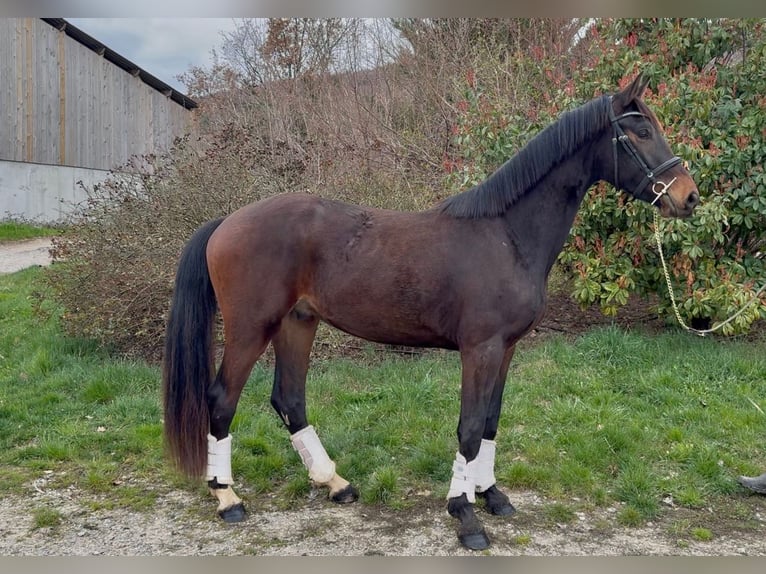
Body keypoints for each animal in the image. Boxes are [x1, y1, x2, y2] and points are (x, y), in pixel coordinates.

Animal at [162, 74, 700, 551]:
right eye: (640, 131)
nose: (688, 197)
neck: (506, 235)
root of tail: (225, 222)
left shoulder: (506, 350)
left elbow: (490, 422)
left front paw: (491, 496)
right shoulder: (480, 349)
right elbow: (469, 428)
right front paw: (465, 515)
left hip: (298, 323)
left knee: (289, 400)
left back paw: (335, 484)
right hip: (251, 328)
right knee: (222, 400)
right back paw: (227, 498)